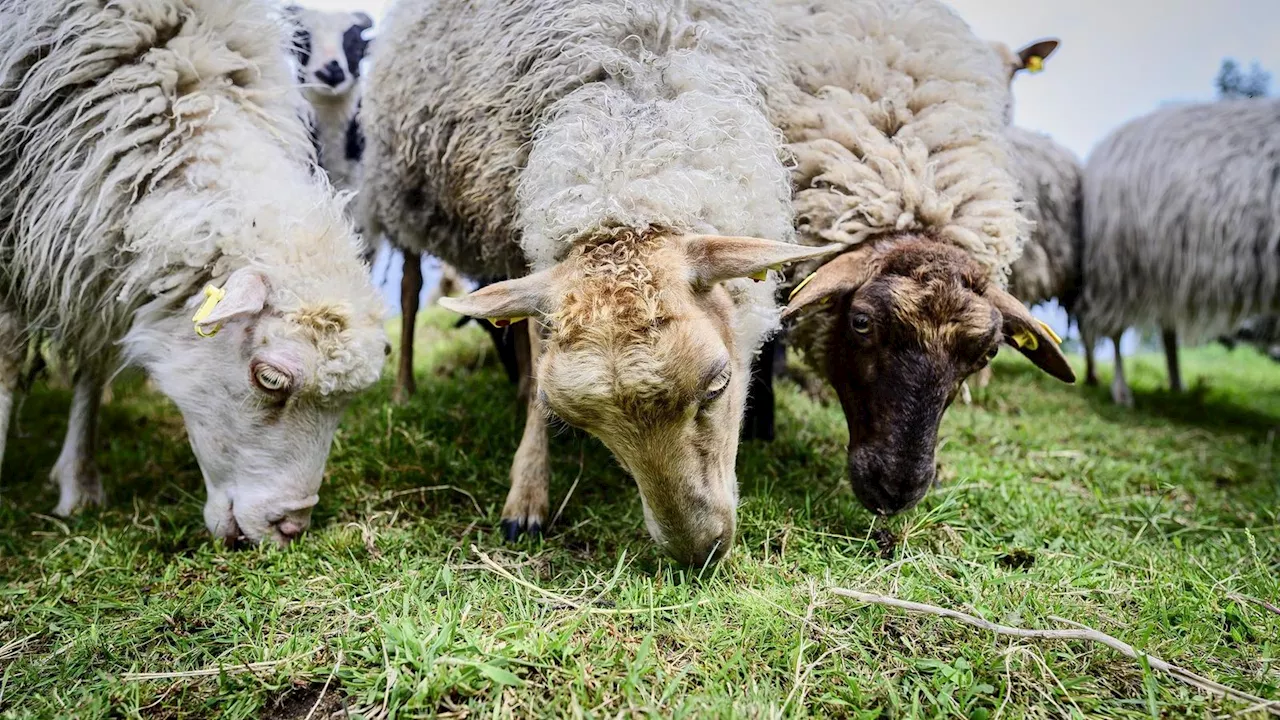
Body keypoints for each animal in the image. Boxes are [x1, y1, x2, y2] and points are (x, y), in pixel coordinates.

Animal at [1, 0, 389, 540]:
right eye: (270, 379)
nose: (290, 528)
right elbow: (8, 359)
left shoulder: (95, 247)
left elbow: (92, 366)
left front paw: (80, 485)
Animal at [366, 0, 834, 563]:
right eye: (583, 422)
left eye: (718, 385)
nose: (698, 553)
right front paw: (527, 494)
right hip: (402, 196)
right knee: (410, 287)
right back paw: (405, 390)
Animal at [1080, 98, 1280, 407]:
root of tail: (1109, 142)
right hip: (1121, 268)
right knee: (1113, 330)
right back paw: (1121, 390)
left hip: (1164, 271)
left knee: (1166, 329)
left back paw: (1175, 384)